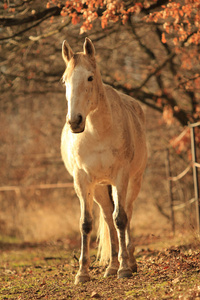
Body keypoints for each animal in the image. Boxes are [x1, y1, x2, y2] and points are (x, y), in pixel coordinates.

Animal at [61, 37, 147, 284]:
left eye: (90, 77)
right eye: (64, 81)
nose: (75, 121)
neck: (96, 132)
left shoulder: (121, 176)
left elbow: (121, 219)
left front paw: (125, 269)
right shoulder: (82, 181)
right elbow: (86, 223)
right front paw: (82, 273)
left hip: (133, 181)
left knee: (126, 213)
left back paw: (130, 262)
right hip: (99, 188)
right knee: (108, 217)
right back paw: (111, 266)